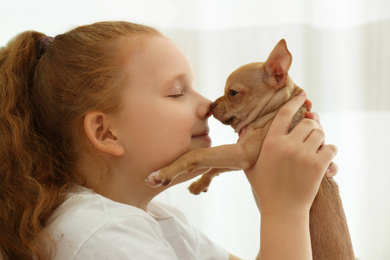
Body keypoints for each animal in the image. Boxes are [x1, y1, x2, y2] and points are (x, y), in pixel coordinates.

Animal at [146, 39, 354, 258]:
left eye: (233, 93)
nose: (211, 105)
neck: (276, 109)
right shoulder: (240, 157)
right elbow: (214, 166)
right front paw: (199, 184)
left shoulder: (243, 153)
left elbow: (198, 154)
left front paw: (164, 172)